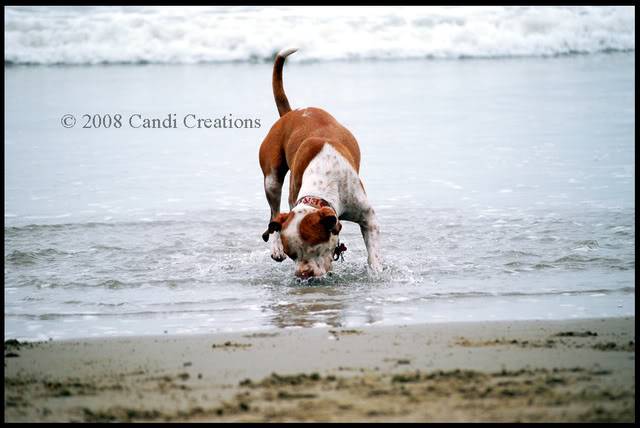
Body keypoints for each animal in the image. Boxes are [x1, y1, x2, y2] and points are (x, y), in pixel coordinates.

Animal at [258, 48, 382, 280]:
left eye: (316, 248)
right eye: (292, 255)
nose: (303, 274)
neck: (323, 178)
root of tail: (291, 113)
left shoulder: (367, 217)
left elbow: (373, 253)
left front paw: (377, 271)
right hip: (271, 180)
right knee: (273, 214)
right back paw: (275, 246)